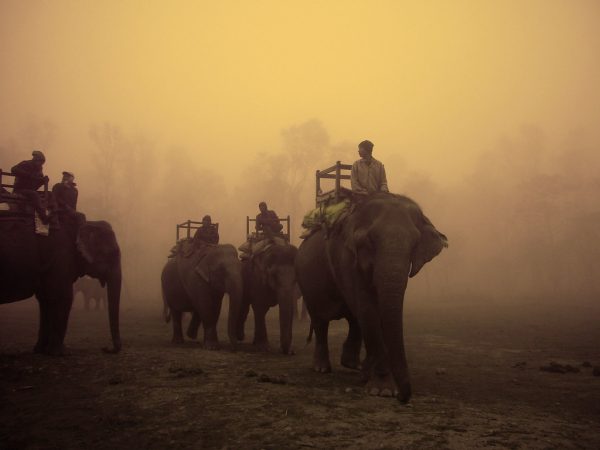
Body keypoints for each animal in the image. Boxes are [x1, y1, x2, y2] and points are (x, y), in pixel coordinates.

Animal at [0, 214, 123, 356]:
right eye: (113, 253)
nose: (105, 348)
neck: (84, 223)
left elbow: (46, 299)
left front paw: (41, 350)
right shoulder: (61, 256)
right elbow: (63, 297)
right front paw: (60, 352)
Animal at [296, 192, 446, 402]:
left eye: (415, 243)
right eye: (370, 241)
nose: (404, 398)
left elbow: (376, 310)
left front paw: (371, 378)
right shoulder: (345, 258)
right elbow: (368, 309)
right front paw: (383, 391)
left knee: (354, 318)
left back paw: (353, 364)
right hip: (306, 281)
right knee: (320, 320)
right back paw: (322, 368)